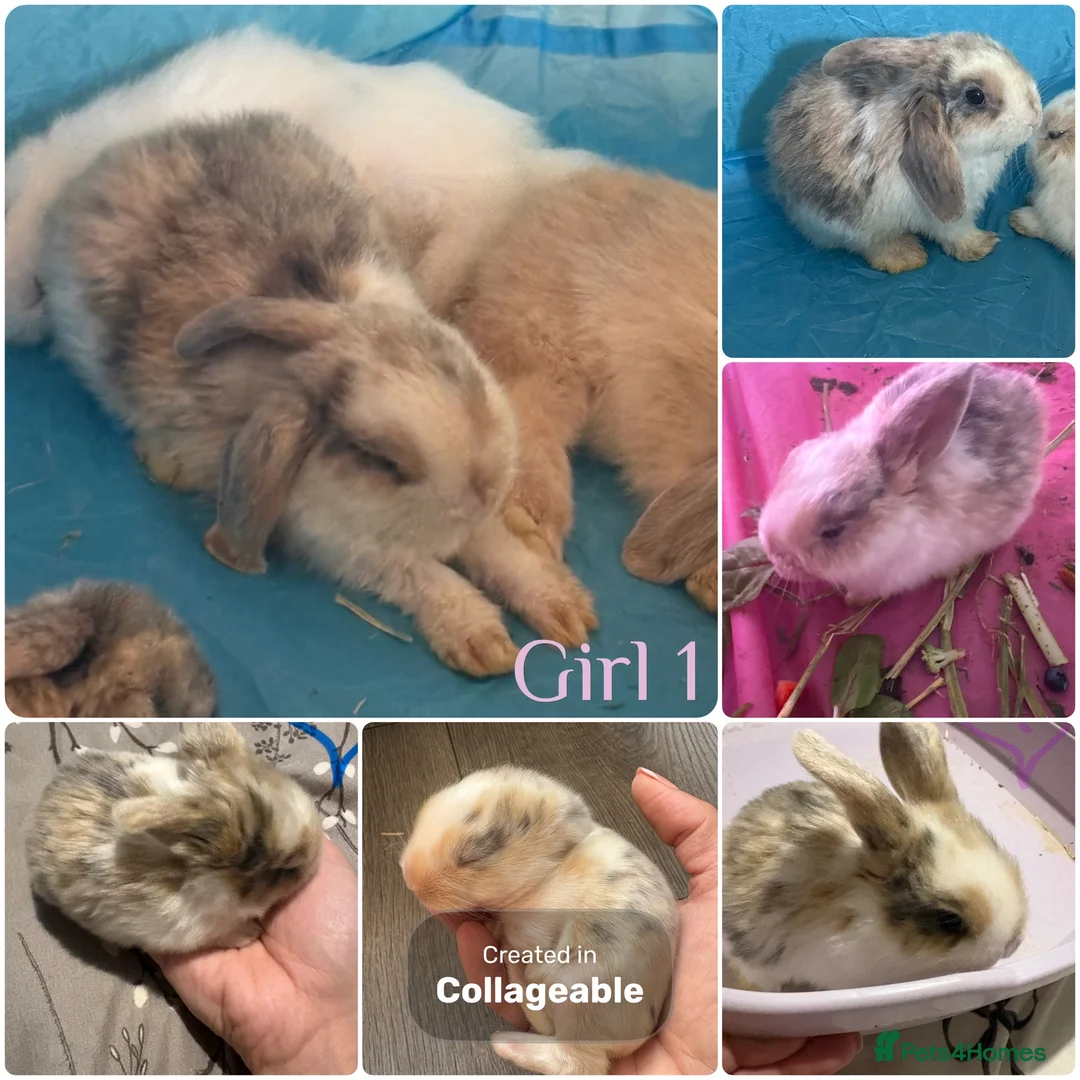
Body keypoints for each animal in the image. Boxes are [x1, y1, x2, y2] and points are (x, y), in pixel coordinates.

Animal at [38, 112, 597, 678]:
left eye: (462, 368)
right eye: (379, 460)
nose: (485, 489)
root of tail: (124, 152)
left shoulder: (476, 529)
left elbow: (504, 553)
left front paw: (568, 613)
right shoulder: (346, 546)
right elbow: (428, 579)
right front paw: (484, 643)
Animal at [401, 766, 679, 1075]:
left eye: (475, 854)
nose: (409, 879)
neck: (546, 873)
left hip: (579, 995)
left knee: (575, 1061)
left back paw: (505, 1037)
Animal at [767, 34, 1043, 273]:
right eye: (975, 96)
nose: (1035, 116)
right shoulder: (949, 213)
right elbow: (956, 230)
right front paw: (981, 246)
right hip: (850, 223)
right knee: (868, 243)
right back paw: (905, 257)